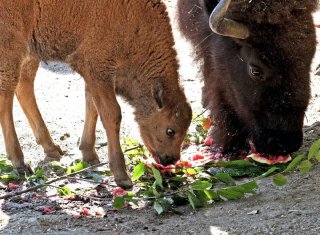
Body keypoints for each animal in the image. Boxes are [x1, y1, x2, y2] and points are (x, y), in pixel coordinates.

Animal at [0, 0, 192, 188]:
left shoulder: (94, 74)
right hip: (11, 46)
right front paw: (122, 176)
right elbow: (112, 114)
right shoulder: (97, 67)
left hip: (30, 51)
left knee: (23, 86)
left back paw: (51, 148)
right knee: (6, 95)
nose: (170, 159)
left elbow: (92, 107)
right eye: (170, 131)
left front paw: (89, 154)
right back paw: (20, 163)